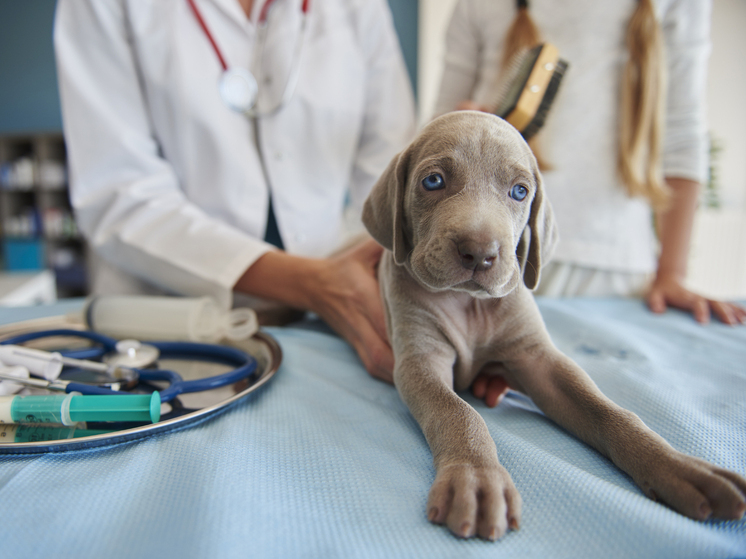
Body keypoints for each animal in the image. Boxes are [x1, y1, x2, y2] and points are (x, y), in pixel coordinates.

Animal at [362, 110, 744, 544]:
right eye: (433, 181)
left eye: (519, 191)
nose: (480, 253)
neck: (468, 303)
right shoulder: (420, 362)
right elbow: (456, 412)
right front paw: (476, 478)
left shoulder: (538, 360)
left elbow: (608, 411)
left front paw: (676, 466)